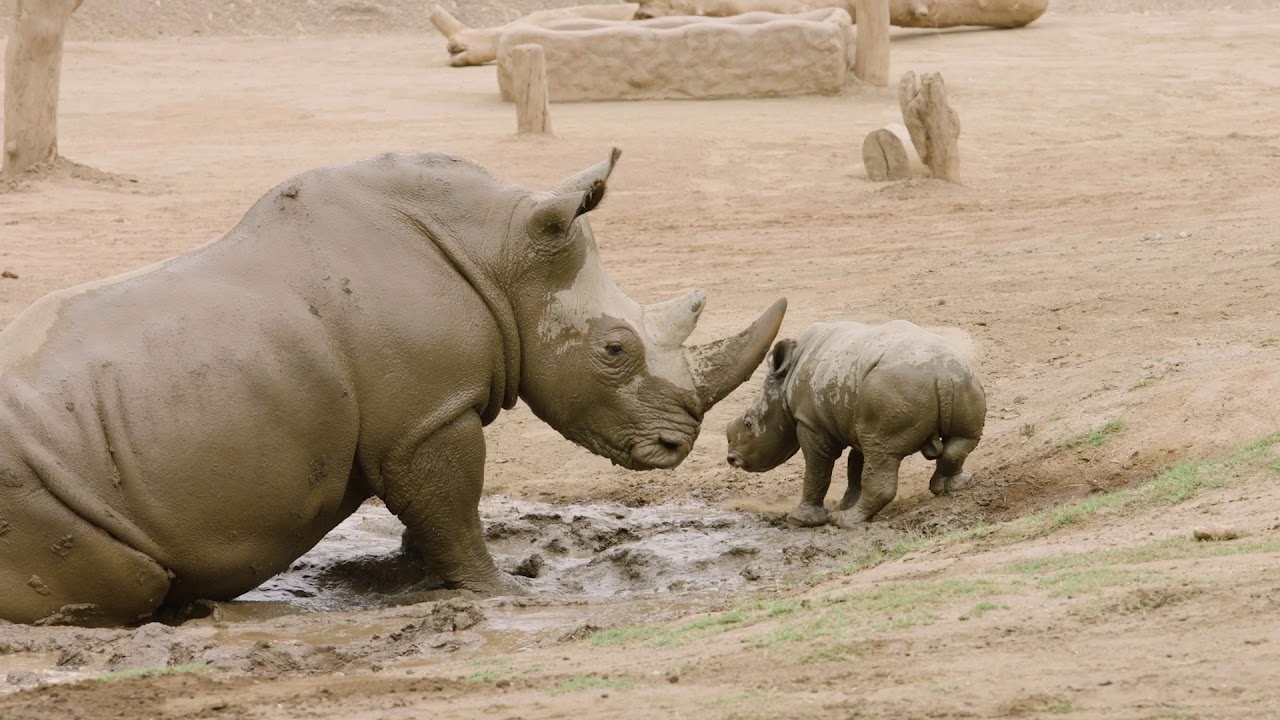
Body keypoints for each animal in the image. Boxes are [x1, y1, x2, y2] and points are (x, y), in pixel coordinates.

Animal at [0, 148, 787, 626]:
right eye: (615, 351)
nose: (677, 444)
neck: (499, 250)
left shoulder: (415, 417)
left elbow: (433, 507)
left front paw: (409, 576)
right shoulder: (427, 415)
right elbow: (452, 503)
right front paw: (503, 591)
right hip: (32, 481)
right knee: (129, 578)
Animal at [725, 320, 985, 528]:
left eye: (748, 424)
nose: (731, 459)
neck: (784, 382)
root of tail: (942, 376)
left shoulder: (811, 423)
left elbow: (818, 467)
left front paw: (801, 520)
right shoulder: (854, 415)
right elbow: (856, 462)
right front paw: (845, 503)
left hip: (892, 387)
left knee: (882, 453)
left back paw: (845, 522)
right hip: (962, 380)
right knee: (959, 441)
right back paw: (953, 485)